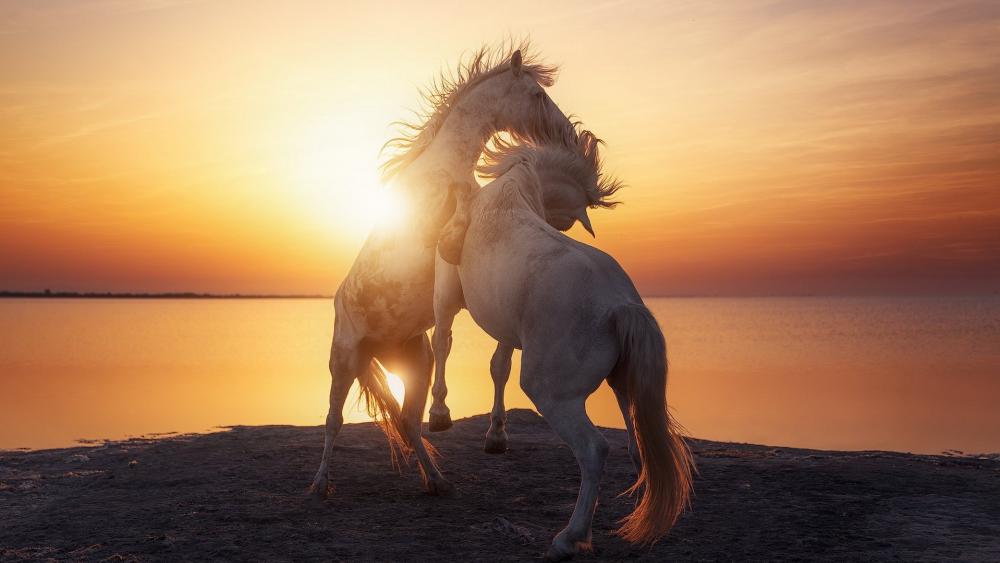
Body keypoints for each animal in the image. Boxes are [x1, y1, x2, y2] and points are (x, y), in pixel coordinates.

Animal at [309, 41, 577, 499]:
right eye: (537, 95)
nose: (565, 133)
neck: (444, 167)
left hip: (414, 364)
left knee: (408, 421)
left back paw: (436, 479)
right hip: (343, 361)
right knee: (333, 421)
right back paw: (320, 483)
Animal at [430, 128, 618, 455]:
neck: (517, 181)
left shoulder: (507, 317)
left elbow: (499, 367)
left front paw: (496, 433)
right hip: (445, 297)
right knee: (441, 342)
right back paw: (439, 412)